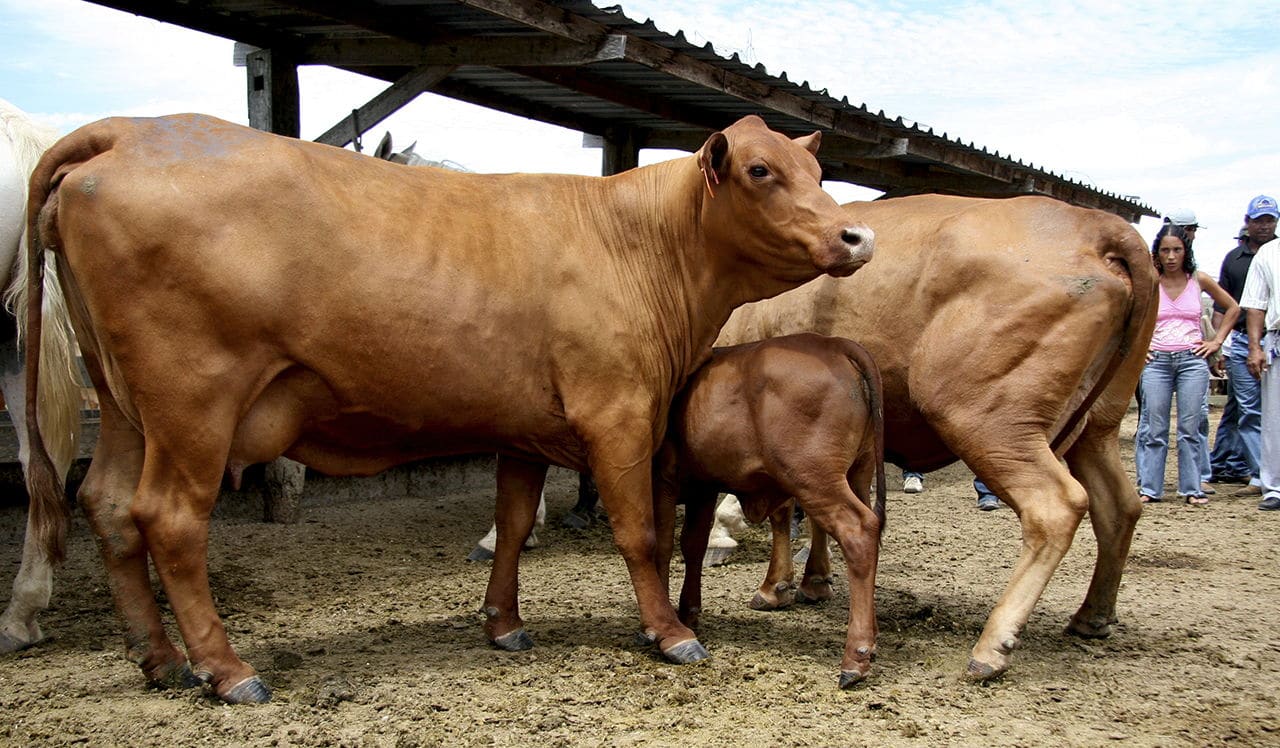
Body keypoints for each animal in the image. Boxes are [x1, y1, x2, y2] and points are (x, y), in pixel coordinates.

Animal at [655, 335, 885, 691]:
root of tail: (833, 344)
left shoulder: (664, 478)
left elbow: (663, 545)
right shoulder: (703, 484)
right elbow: (692, 544)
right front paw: (687, 611)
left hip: (815, 477)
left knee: (858, 531)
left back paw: (855, 658)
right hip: (859, 472)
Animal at [721, 194, 1162, 681]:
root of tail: (1099, 225)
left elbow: (784, 511)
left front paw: (774, 586)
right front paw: (814, 581)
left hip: (989, 418)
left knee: (1056, 507)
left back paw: (992, 645)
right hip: (1098, 425)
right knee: (1119, 505)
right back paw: (1092, 616)